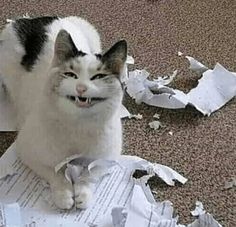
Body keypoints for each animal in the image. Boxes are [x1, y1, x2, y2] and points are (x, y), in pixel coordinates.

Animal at [0, 16, 127, 209]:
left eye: (98, 77)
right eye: (70, 74)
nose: (81, 88)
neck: (78, 125)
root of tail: (38, 18)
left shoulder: (108, 158)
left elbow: (89, 175)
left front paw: (83, 195)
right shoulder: (27, 151)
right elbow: (55, 173)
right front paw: (64, 195)